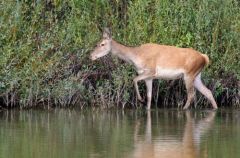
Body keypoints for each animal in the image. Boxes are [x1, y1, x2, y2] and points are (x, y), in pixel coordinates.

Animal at [89, 28, 218, 110]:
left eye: (102, 44)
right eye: (97, 43)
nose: (91, 56)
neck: (136, 56)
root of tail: (204, 58)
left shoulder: (151, 71)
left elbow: (134, 79)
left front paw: (140, 99)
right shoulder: (149, 77)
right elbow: (150, 96)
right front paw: (146, 107)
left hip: (189, 74)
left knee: (191, 94)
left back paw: (183, 109)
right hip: (197, 76)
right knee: (208, 92)